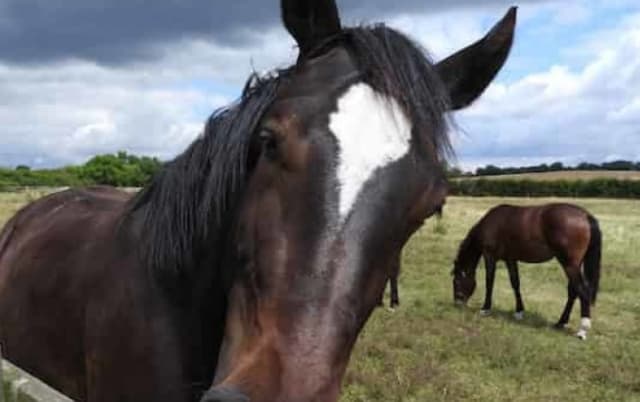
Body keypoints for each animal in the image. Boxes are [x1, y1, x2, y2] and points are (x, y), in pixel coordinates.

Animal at [452, 203, 602, 340]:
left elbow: (489, 282)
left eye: (456, 281)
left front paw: (485, 308)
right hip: (574, 265)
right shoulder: (510, 259)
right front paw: (519, 311)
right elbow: (515, 283)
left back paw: (582, 330)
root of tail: (585, 216)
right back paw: (560, 323)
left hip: (569, 265)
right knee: (573, 291)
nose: (457, 302)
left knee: (582, 291)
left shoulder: (490, 256)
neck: (491, 223)